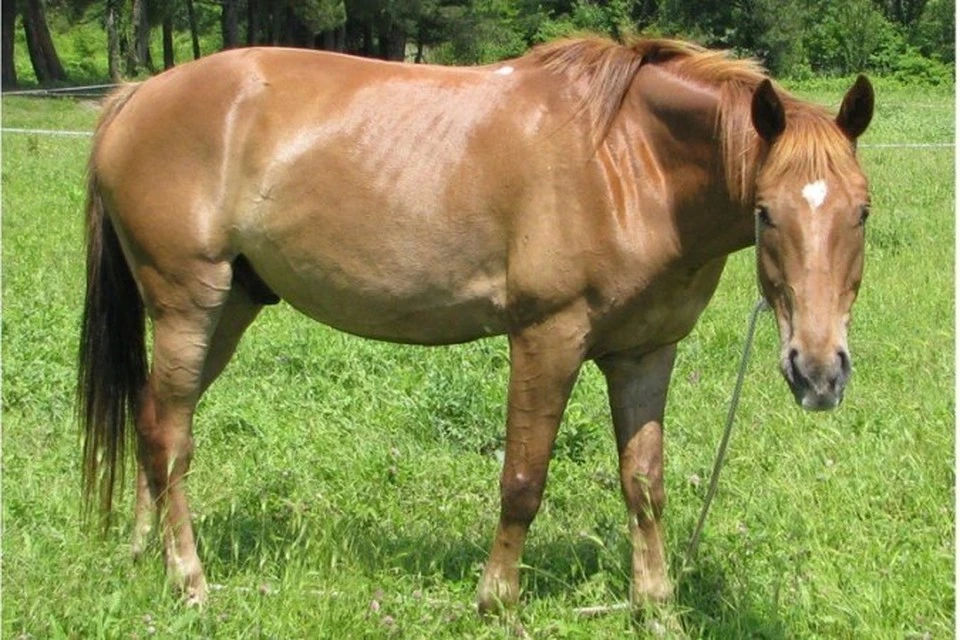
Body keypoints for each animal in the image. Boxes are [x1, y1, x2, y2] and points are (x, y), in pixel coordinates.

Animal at [77, 36, 874, 611]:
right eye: (767, 212)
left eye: (861, 211)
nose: (819, 373)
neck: (628, 164)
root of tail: (137, 96)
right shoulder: (547, 338)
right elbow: (522, 480)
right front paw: (498, 602)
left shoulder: (645, 353)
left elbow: (644, 485)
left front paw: (656, 608)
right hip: (188, 304)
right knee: (172, 439)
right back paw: (191, 582)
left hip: (229, 309)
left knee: (153, 422)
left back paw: (145, 557)